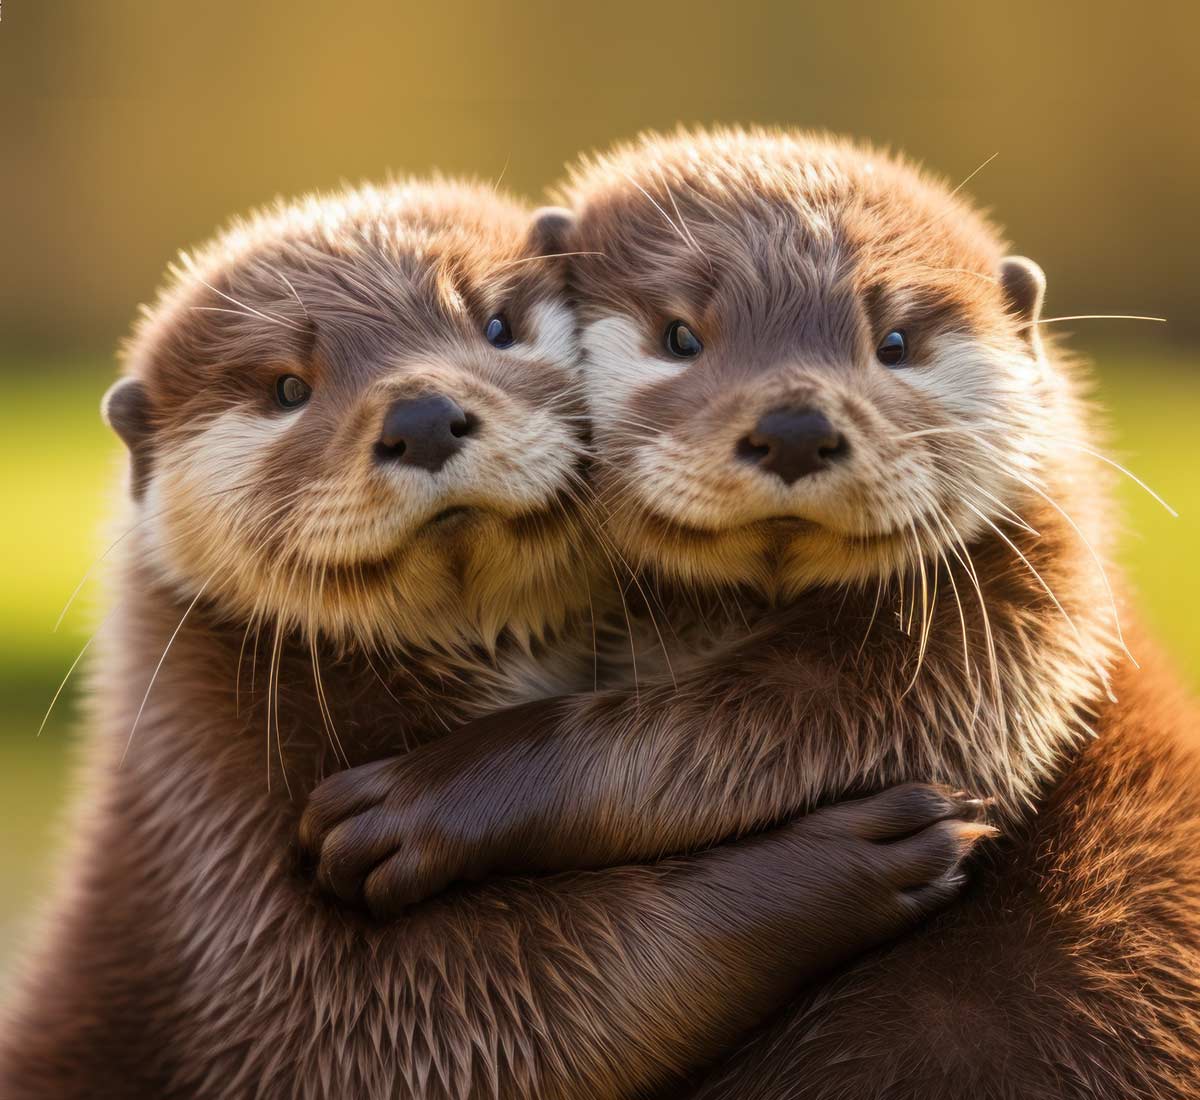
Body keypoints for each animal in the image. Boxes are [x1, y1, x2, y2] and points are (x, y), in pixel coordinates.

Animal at [0, 177, 984, 1098]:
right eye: (287, 388)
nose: (422, 415)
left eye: (498, 325)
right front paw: (847, 863)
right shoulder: (229, 873)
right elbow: (458, 1020)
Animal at [300, 133, 1200, 1094]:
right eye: (680, 336)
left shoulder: (1020, 611)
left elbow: (771, 725)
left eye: (894, 341)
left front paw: (416, 802)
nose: (796, 426)